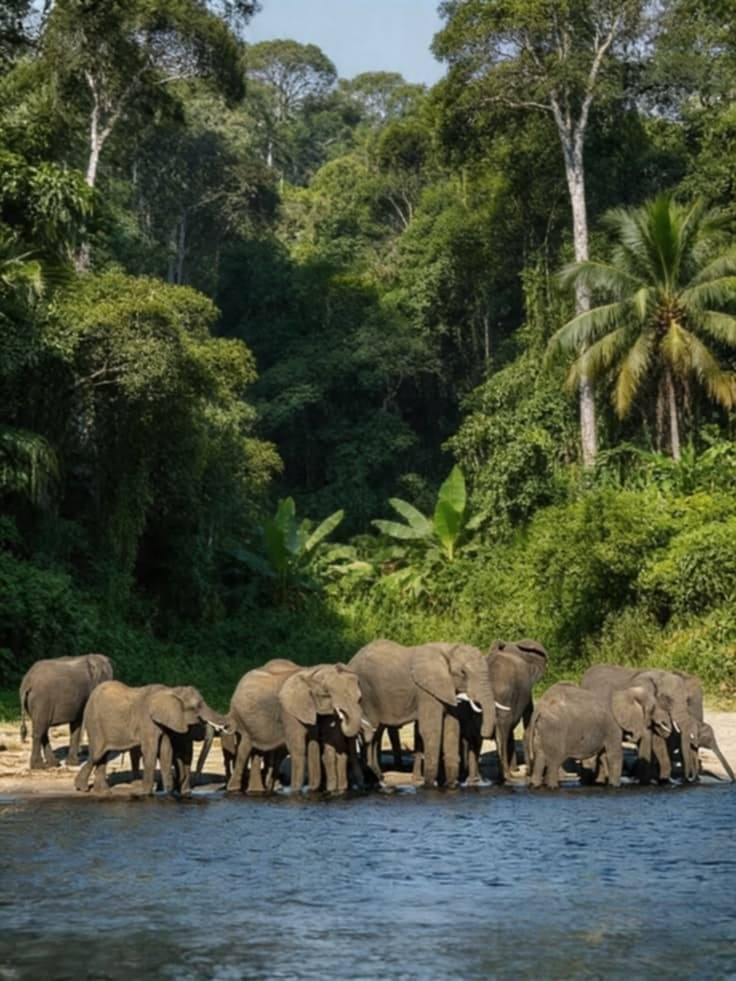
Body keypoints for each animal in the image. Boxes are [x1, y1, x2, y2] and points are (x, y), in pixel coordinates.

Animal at [75, 681, 229, 795]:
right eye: (197, 706)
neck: (172, 691)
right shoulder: (147, 721)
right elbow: (151, 751)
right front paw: (146, 793)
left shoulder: (165, 723)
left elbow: (166, 752)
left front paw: (167, 793)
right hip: (94, 722)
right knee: (97, 753)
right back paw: (81, 788)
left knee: (103, 755)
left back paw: (103, 792)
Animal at [227, 660, 364, 794]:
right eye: (326, 694)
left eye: (359, 698)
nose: (341, 713)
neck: (311, 672)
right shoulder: (288, 711)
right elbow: (299, 748)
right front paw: (296, 792)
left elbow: (313, 745)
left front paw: (312, 791)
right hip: (241, 718)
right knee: (244, 749)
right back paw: (234, 789)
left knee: (257, 750)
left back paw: (256, 790)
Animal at [348, 640, 496, 788]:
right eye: (463, 672)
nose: (483, 732)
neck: (448, 649)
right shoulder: (426, 691)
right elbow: (431, 730)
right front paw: (430, 785)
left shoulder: (447, 689)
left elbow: (451, 729)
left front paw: (450, 786)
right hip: (366, 695)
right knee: (370, 732)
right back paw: (371, 780)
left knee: (376, 733)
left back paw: (378, 777)